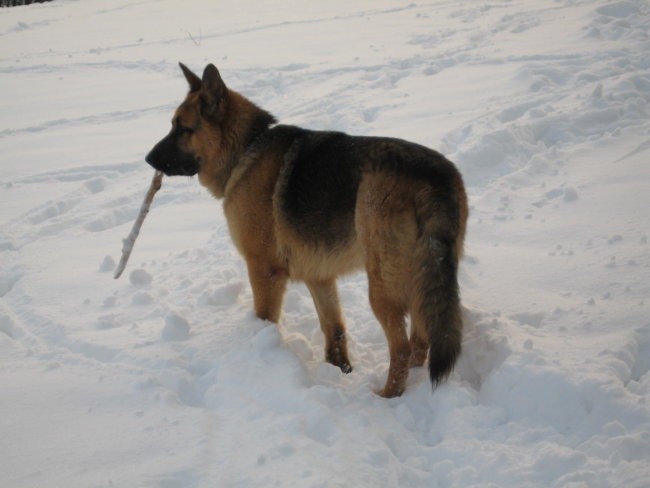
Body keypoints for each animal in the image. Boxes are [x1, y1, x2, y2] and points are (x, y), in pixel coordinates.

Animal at [146, 63, 466, 396]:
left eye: (182, 129)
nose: (148, 159)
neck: (246, 147)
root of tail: (434, 178)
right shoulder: (320, 277)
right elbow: (334, 329)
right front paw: (340, 370)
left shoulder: (264, 270)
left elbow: (266, 318)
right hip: (420, 279)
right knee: (421, 338)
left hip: (383, 284)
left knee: (402, 347)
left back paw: (387, 395)